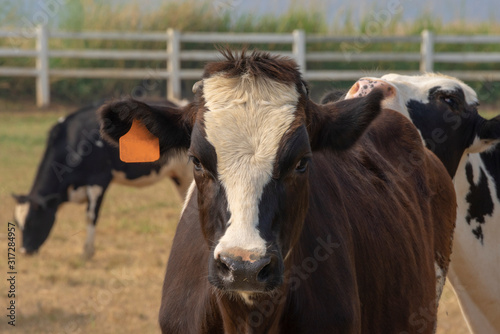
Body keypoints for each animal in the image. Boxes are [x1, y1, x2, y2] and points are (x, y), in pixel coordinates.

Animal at [13, 100, 193, 260]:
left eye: (33, 221)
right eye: (17, 223)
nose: (25, 251)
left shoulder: (98, 180)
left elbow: (91, 215)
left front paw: (87, 252)